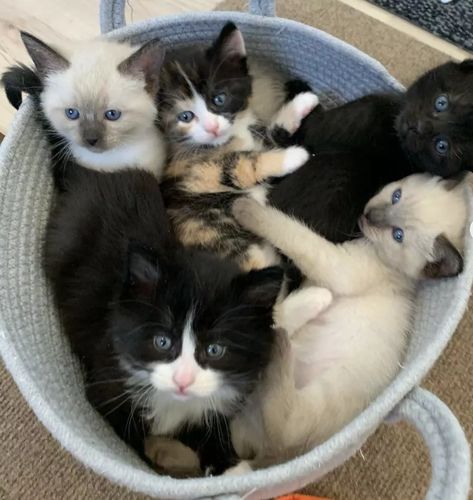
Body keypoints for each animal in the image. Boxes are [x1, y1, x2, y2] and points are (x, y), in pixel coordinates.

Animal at [44, 165, 282, 476]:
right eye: (162, 341)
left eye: (215, 349)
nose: (182, 381)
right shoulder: (107, 380)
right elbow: (129, 439)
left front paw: (226, 465)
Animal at [230, 172, 466, 468]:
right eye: (396, 195)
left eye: (397, 235)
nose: (369, 215)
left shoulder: (337, 267)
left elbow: (293, 233)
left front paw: (244, 209)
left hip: (315, 402)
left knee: (284, 423)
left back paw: (281, 342)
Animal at [268, 59, 472, 243]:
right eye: (441, 103)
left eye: (442, 146)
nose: (418, 127)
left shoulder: (352, 116)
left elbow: (293, 133)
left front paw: (300, 88)